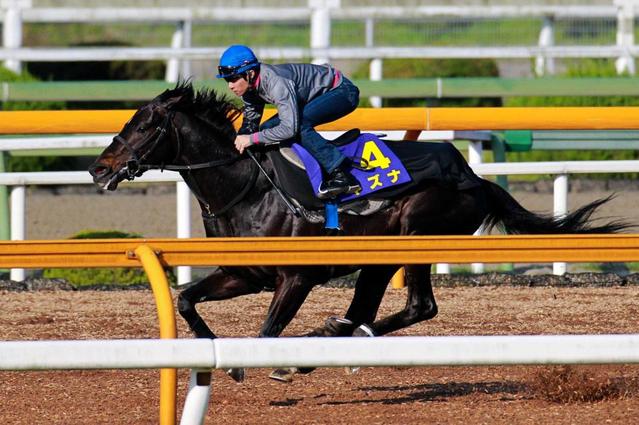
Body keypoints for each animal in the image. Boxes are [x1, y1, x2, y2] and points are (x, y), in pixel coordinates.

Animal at [89, 83, 632, 380]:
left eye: (145, 126)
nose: (99, 168)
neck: (247, 186)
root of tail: (473, 176)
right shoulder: (245, 273)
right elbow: (184, 300)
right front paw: (219, 353)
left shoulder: (296, 278)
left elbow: (268, 330)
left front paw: (262, 360)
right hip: (377, 258)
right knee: (377, 308)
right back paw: (331, 339)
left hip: (415, 235)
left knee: (418, 306)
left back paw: (331, 341)